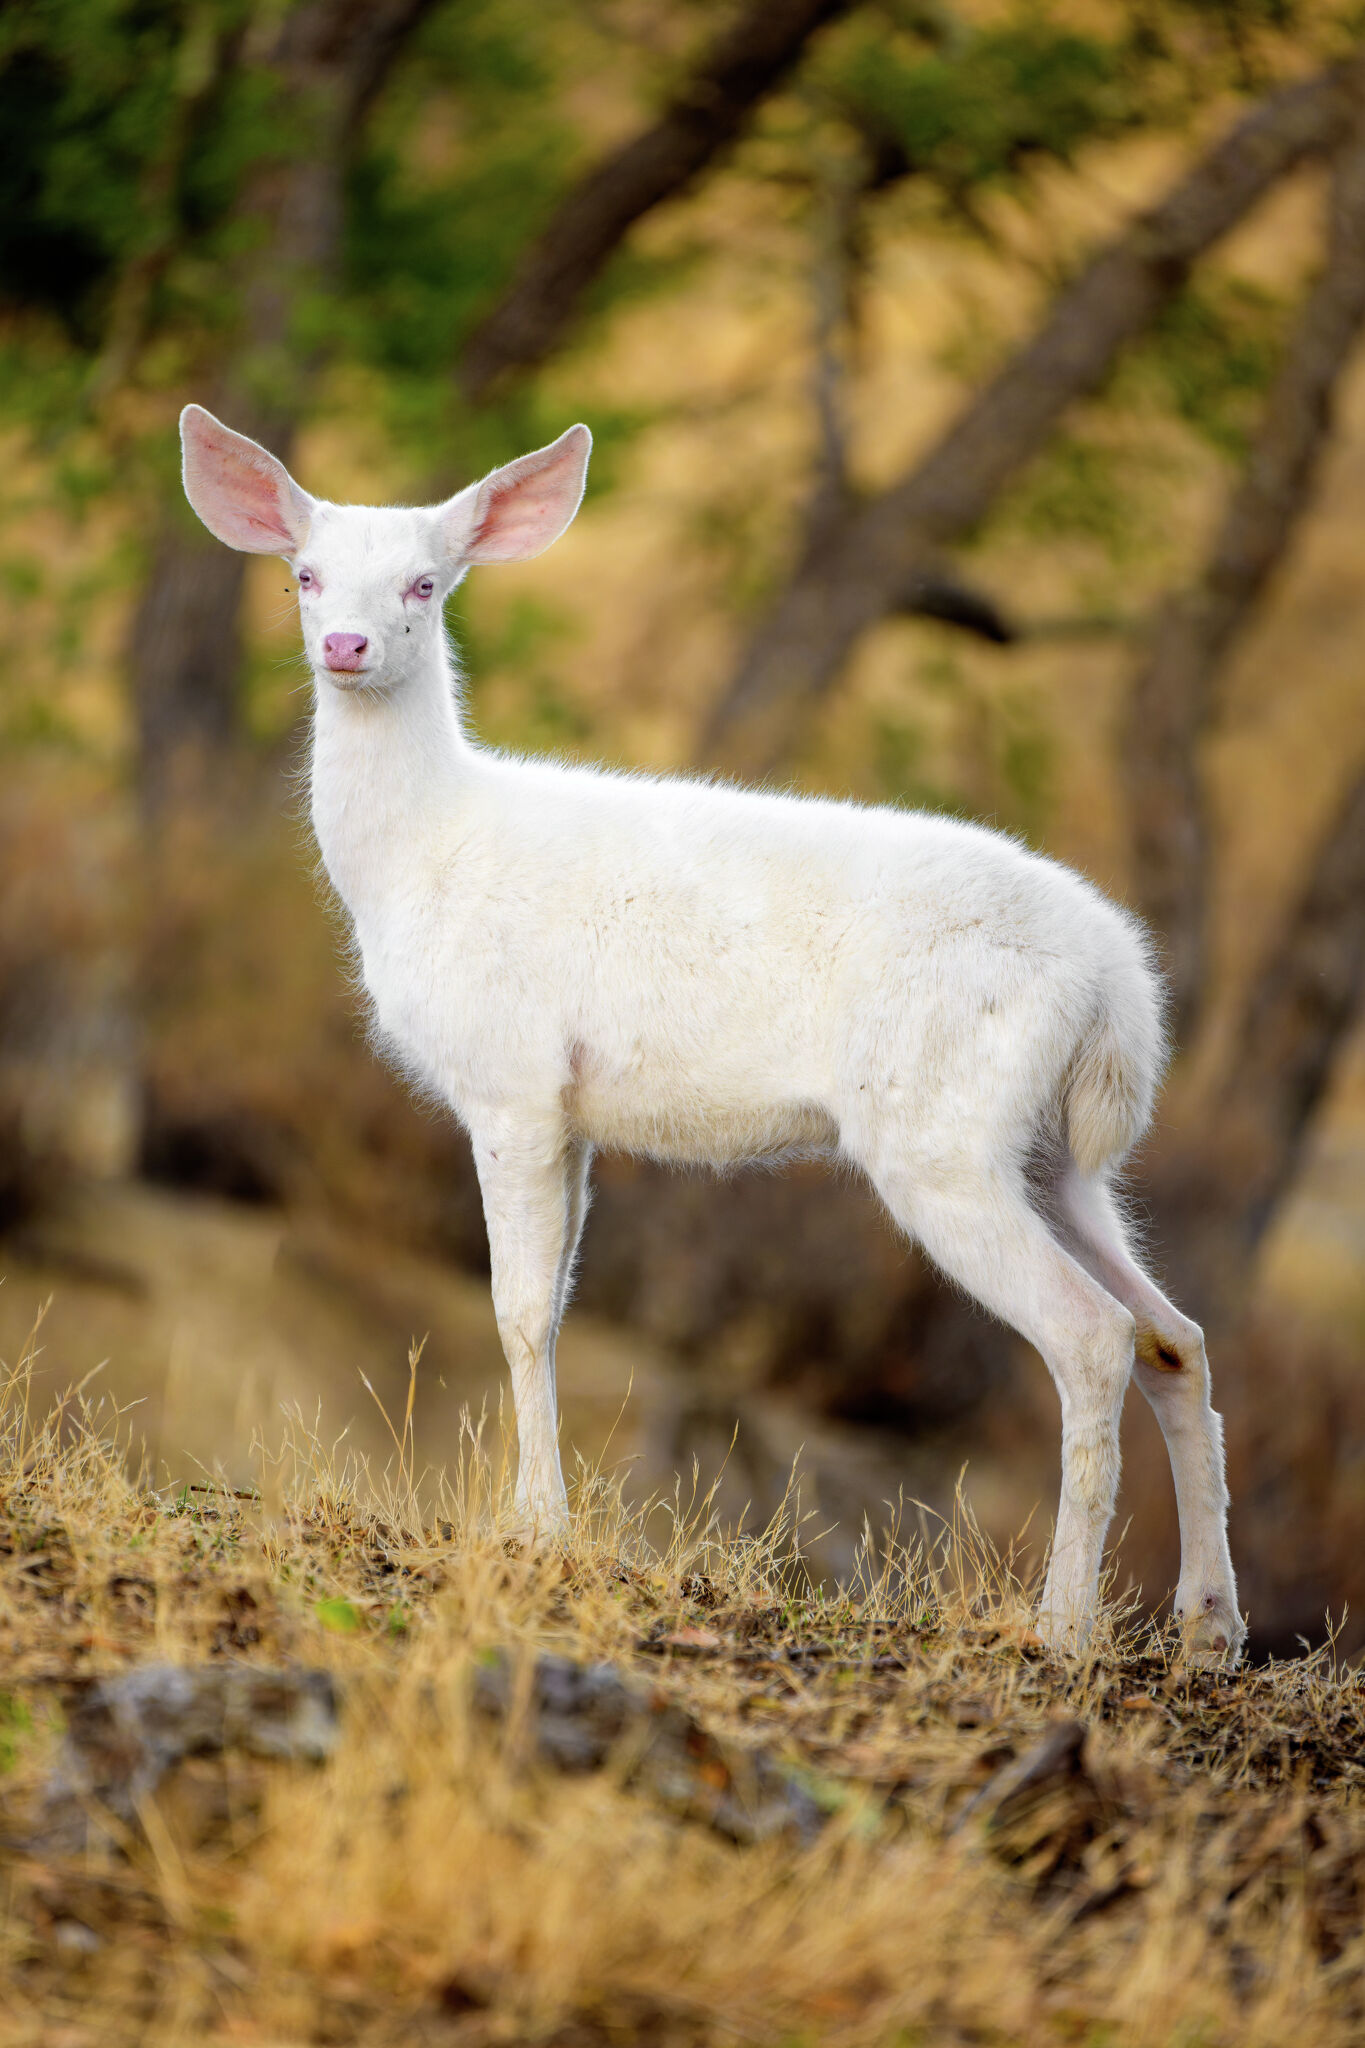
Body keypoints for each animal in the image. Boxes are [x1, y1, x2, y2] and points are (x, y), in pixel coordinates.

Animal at [180, 403, 1244, 1660]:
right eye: (304, 573)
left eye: (425, 584)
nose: (344, 645)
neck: (422, 854)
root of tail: (1120, 992)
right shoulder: (575, 1111)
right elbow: (554, 1304)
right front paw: (547, 1515)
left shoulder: (511, 1075)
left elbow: (518, 1310)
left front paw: (536, 1526)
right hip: (1057, 1154)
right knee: (1175, 1334)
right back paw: (1210, 1626)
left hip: (938, 1130)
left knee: (1091, 1336)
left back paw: (1062, 1623)